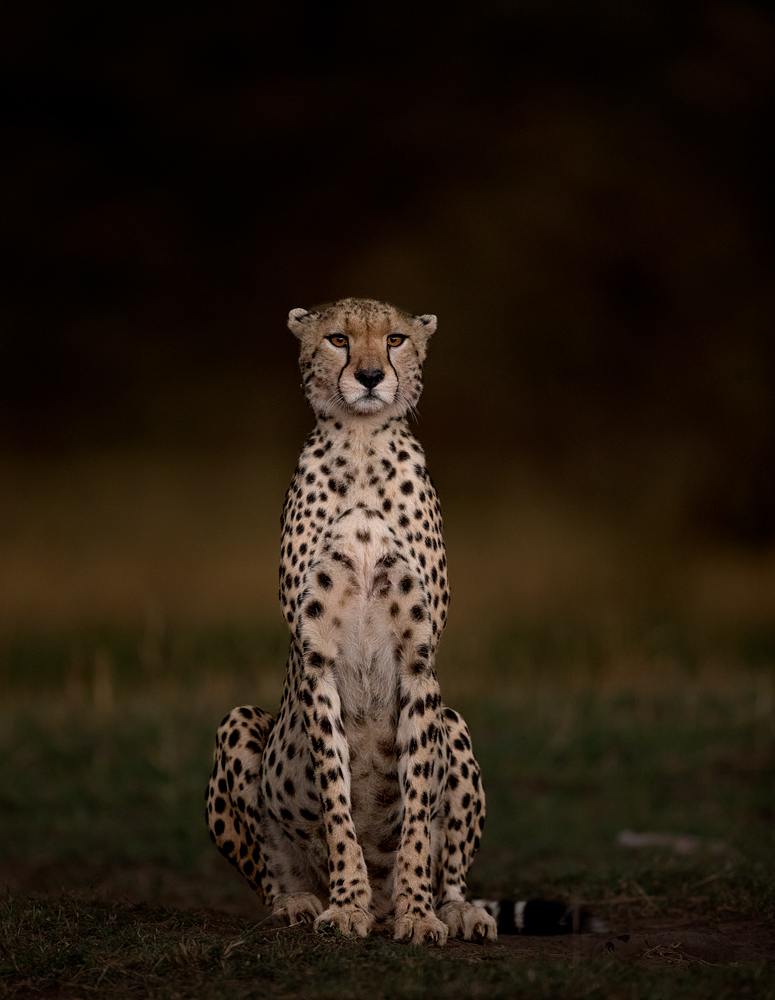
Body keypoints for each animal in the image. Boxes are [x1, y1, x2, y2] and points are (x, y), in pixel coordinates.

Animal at [205, 297, 497, 946]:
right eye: (338, 339)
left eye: (395, 339)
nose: (368, 376)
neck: (362, 449)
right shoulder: (317, 659)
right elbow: (336, 799)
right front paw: (346, 905)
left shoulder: (418, 661)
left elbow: (418, 804)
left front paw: (417, 912)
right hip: (239, 724)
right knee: (270, 870)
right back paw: (299, 902)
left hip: (455, 723)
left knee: (452, 867)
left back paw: (456, 910)